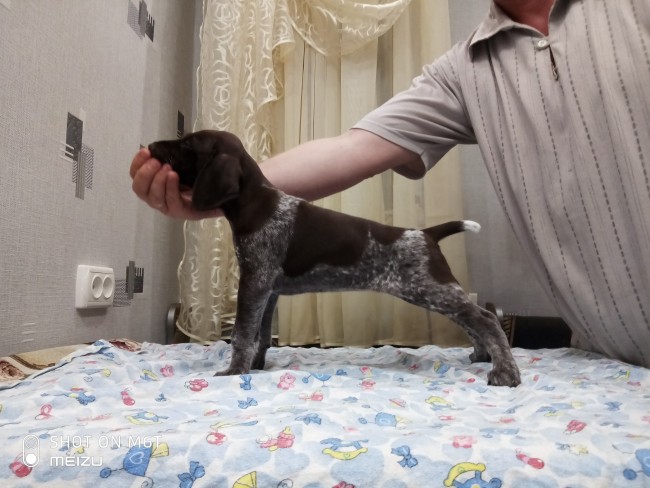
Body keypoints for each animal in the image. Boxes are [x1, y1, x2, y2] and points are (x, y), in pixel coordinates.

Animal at [148, 130, 521, 387]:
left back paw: (504, 371)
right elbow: (260, 334)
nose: (151, 147)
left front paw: (233, 371)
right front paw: (255, 366)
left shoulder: (254, 280)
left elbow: (242, 333)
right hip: (434, 290)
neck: (255, 201)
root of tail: (426, 233)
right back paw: (482, 356)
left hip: (429, 288)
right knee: (473, 319)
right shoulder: (268, 289)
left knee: (485, 318)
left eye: (187, 145)